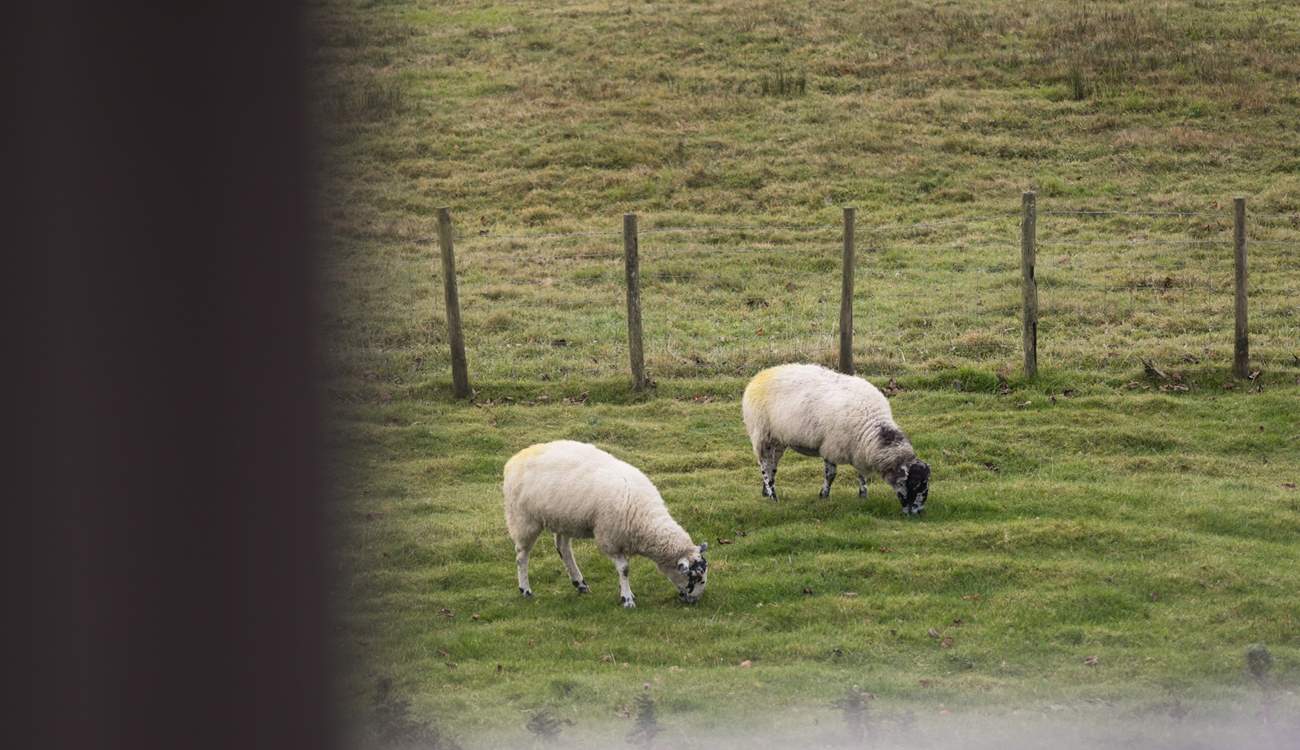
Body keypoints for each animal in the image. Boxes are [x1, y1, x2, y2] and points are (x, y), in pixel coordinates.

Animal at [502, 440, 709, 608]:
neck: (646, 518)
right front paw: (627, 599)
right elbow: (624, 569)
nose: (695, 601)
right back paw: (526, 590)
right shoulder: (609, 538)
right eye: (695, 578)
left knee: (563, 548)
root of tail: (514, 459)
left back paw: (580, 584)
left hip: (564, 519)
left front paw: (626, 593)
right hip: (523, 518)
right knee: (522, 555)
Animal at [741, 363, 931, 514]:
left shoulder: (859, 449)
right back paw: (773, 495)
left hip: (778, 439)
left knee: (772, 465)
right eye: (915, 485)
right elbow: (831, 475)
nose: (918, 513)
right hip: (761, 434)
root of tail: (760, 375)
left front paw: (863, 496)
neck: (873, 425)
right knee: (764, 466)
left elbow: (861, 475)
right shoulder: (831, 447)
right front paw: (823, 496)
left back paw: (765, 492)